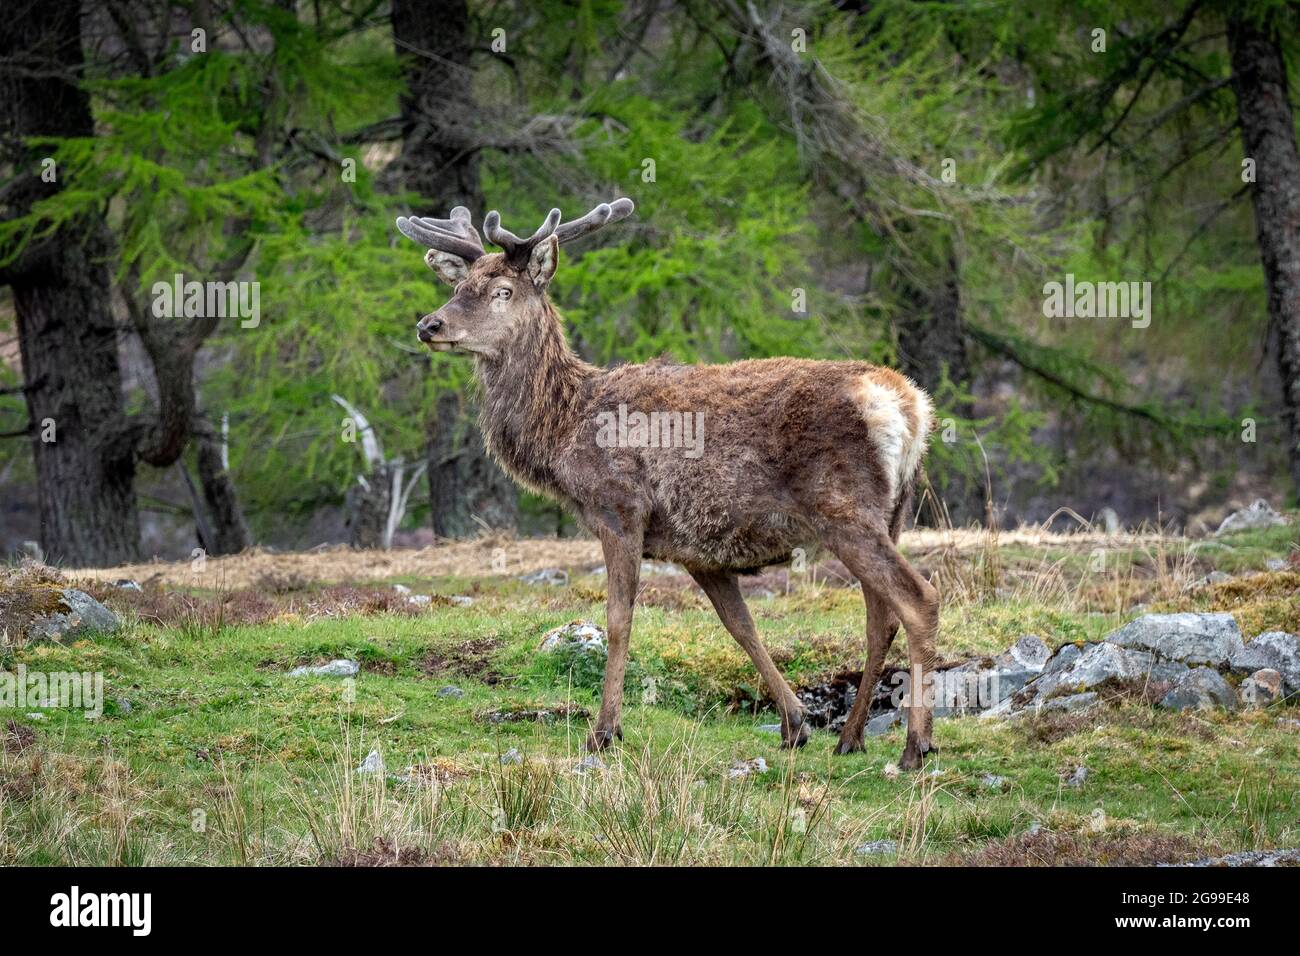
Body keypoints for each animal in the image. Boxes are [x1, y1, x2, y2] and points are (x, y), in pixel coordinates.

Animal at [395, 200, 946, 770]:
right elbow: (741, 626)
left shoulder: (620, 509)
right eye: (460, 286)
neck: (565, 430)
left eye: (503, 291)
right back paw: (851, 735)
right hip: (893, 511)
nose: (429, 324)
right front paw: (795, 723)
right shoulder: (700, 549)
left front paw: (605, 731)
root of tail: (909, 404)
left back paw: (915, 746)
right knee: (880, 617)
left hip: (843, 508)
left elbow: (618, 620)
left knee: (919, 597)